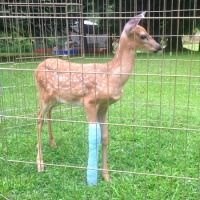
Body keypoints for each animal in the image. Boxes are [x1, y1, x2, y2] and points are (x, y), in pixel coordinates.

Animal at [34, 11, 162, 186]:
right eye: (143, 35)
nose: (159, 47)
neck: (111, 76)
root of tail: (36, 69)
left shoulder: (104, 105)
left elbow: (105, 137)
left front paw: (106, 176)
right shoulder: (89, 101)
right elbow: (93, 137)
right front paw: (92, 178)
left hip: (55, 99)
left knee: (48, 115)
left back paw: (53, 144)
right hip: (44, 95)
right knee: (38, 119)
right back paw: (40, 164)